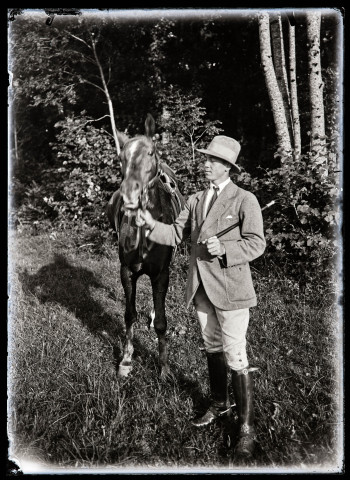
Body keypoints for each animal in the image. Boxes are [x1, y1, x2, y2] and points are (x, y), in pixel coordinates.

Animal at [106, 113, 185, 378]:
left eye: (150, 152)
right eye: (121, 158)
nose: (129, 195)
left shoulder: (161, 274)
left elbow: (161, 321)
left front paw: (164, 368)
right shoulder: (126, 272)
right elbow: (129, 314)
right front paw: (126, 359)